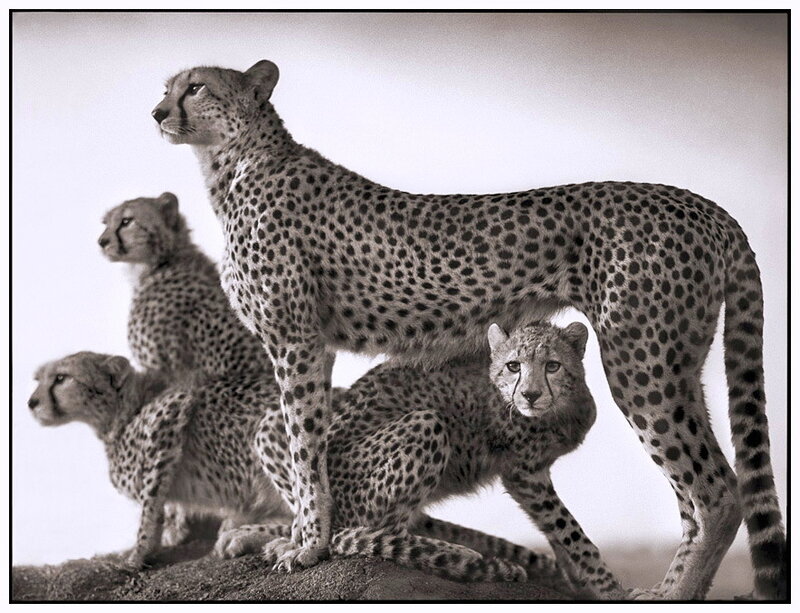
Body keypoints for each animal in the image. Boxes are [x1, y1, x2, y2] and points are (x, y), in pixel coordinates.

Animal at [27, 351, 290, 568]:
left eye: (61, 378)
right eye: (38, 380)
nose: (31, 402)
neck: (124, 408)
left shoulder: (172, 408)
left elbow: (150, 502)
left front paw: (138, 554)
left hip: (268, 429)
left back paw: (251, 537)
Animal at [218, 321, 625, 597]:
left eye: (552, 365)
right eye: (514, 366)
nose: (530, 395)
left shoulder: (535, 473)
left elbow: (557, 533)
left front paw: (578, 582)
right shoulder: (524, 473)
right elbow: (569, 531)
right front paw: (611, 587)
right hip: (426, 424)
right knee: (371, 534)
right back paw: (464, 555)